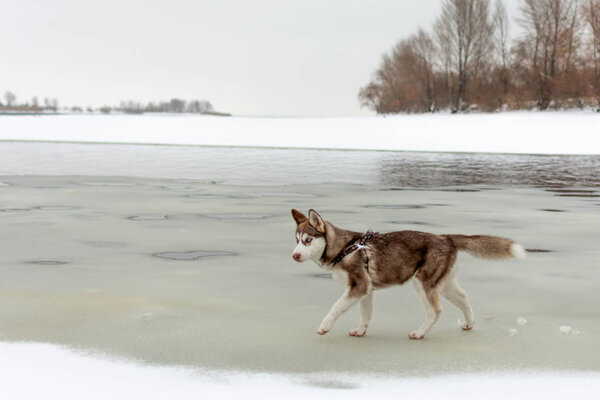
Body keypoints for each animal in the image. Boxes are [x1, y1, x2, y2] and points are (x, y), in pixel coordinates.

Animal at [290, 209, 524, 338]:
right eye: (297, 240)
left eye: (308, 240)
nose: (294, 255)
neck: (344, 248)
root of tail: (446, 237)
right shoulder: (366, 290)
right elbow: (366, 314)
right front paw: (361, 331)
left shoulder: (358, 286)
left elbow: (335, 307)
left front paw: (324, 327)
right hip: (444, 285)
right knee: (464, 297)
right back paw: (469, 323)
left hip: (422, 283)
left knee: (435, 311)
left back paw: (420, 333)